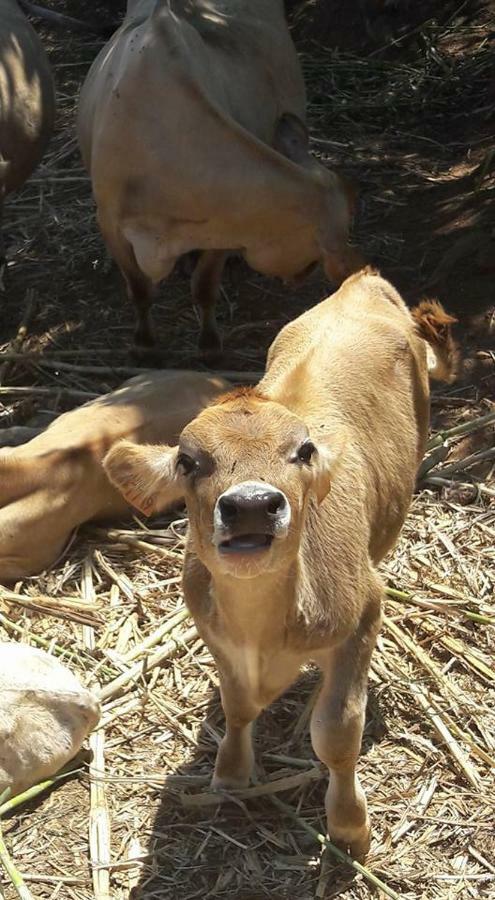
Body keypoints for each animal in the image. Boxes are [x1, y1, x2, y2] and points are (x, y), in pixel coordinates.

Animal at [77, 0, 360, 358]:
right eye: (313, 255)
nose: (300, 277)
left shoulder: (225, 228)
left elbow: (205, 286)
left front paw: (210, 344)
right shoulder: (109, 222)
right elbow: (139, 287)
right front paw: (144, 343)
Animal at [103, 270, 458, 860]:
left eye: (304, 451)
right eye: (188, 461)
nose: (251, 504)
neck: (263, 629)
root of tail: (363, 281)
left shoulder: (365, 609)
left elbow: (337, 732)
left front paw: (350, 826)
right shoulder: (214, 632)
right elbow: (237, 705)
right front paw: (230, 771)